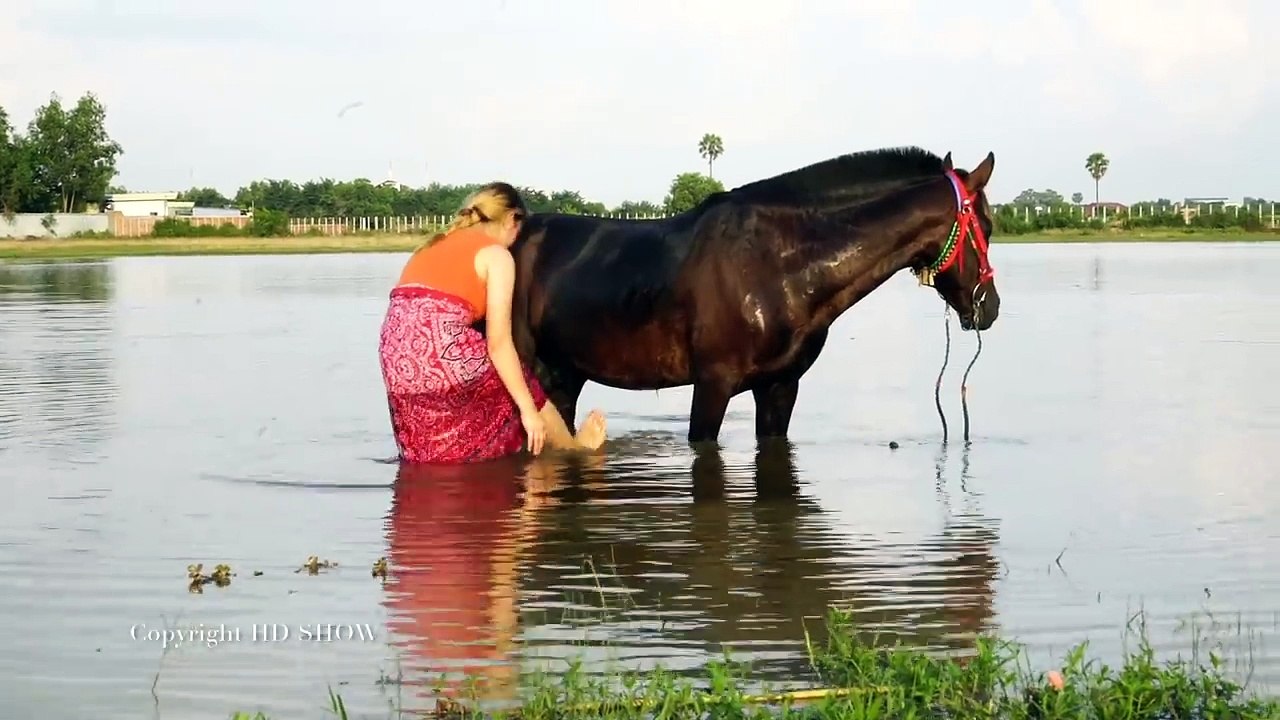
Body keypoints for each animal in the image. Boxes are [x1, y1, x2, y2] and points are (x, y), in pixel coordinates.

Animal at [504, 147, 1002, 445]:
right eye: (988, 226)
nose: (990, 307)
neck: (777, 265)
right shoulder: (713, 385)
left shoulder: (780, 387)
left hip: (564, 373)